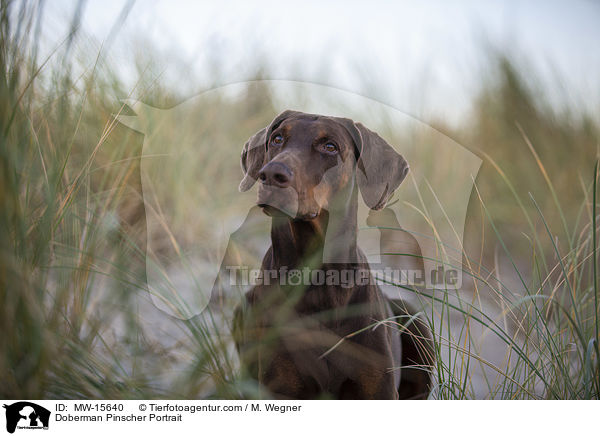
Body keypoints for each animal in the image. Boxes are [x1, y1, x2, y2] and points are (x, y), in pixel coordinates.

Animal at [232, 110, 434, 398]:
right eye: (277, 138)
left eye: (330, 146)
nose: (271, 173)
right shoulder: (279, 384)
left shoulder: (378, 388)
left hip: (414, 319)